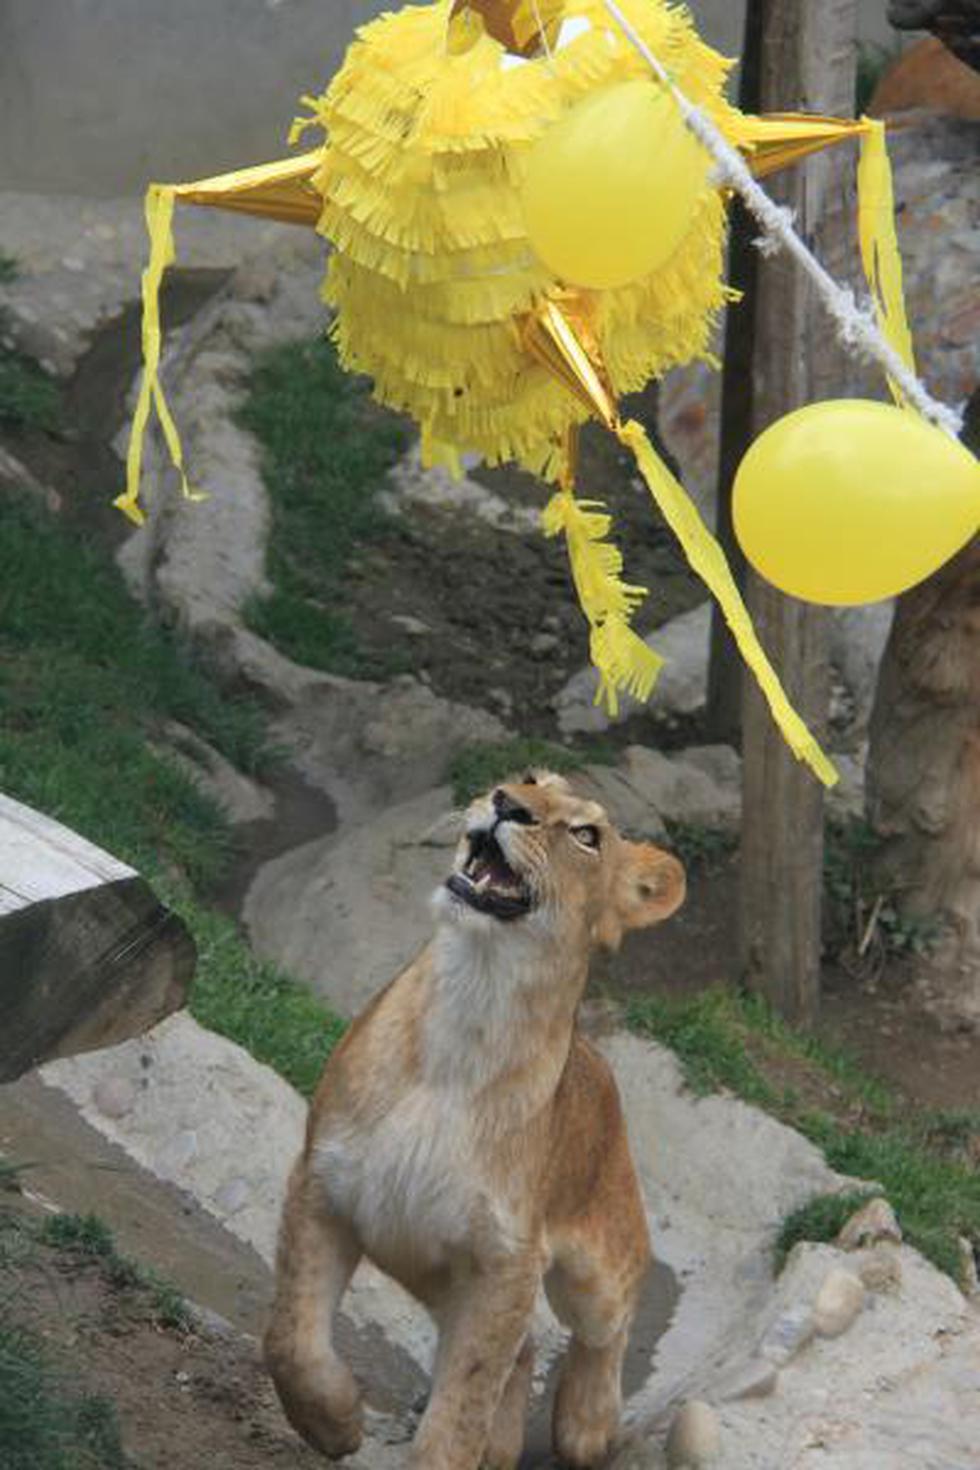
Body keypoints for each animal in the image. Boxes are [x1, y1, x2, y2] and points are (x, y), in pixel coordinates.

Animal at [265, 771, 685, 1470]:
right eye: (531, 780)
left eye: (586, 835)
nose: (506, 803)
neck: (474, 1006)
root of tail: (598, 1057)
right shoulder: (323, 1186)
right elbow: (291, 1340)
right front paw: (335, 1423)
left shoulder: (505, 1265)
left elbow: (457, 1417)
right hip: (432, 1269)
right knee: (527, 1347)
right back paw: (507, 1441)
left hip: (596, 1264)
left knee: (606, 1330)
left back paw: (587, 1425)